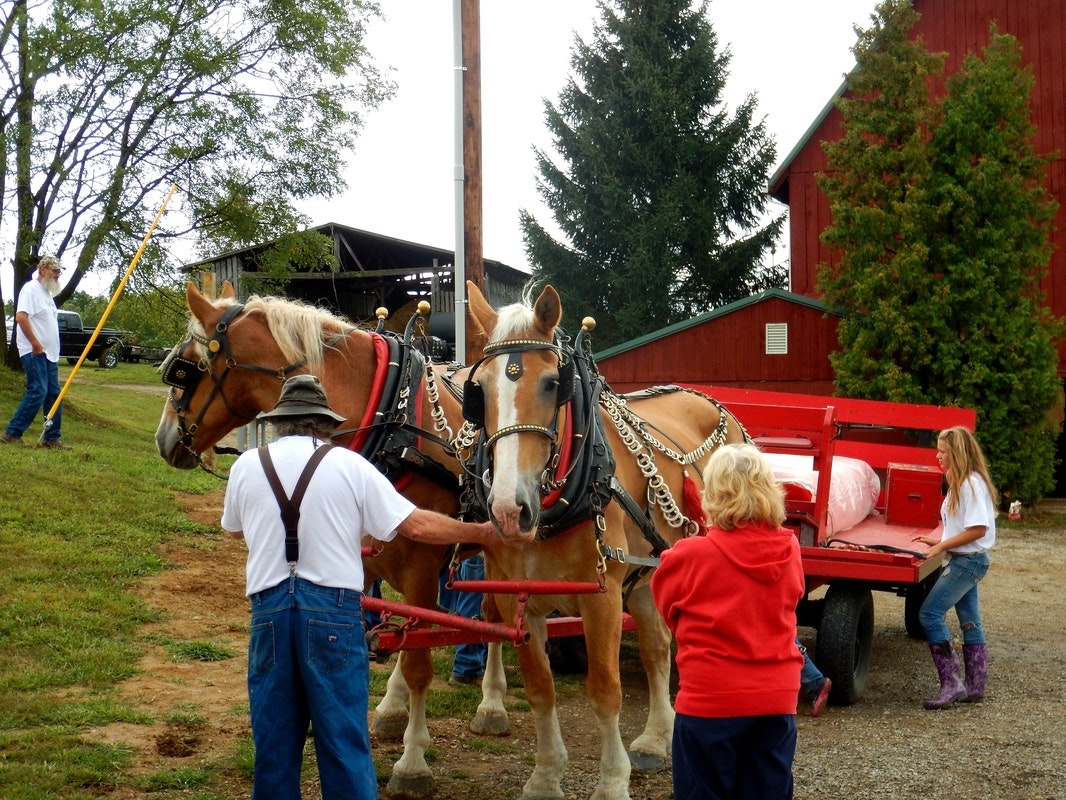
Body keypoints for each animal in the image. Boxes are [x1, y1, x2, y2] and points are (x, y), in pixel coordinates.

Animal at [459, 281, 749, 800]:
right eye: (479, 391)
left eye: (551, 384)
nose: (511, 510)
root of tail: (711, 401)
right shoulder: (519, 597)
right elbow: (541, 689)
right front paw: (545, 775)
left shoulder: (603, 595)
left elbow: (605, 692)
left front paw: (613, 780)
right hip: (648, 571)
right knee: (657, 645)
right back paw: (655, 738)